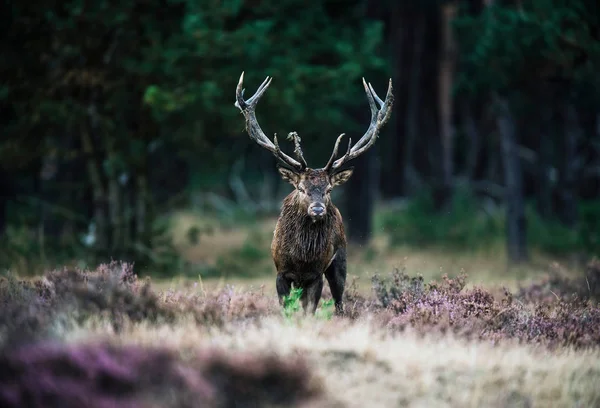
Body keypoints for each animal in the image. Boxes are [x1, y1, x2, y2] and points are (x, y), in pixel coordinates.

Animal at [234, 72, 394, 316]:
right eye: (301, 188)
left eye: (329, 189)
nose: (317, 209)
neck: (302, 259)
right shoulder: (281, 272)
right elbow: (286, 308)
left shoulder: (316, 274)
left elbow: (310, 310)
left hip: (340, 260)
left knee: (339, 300)